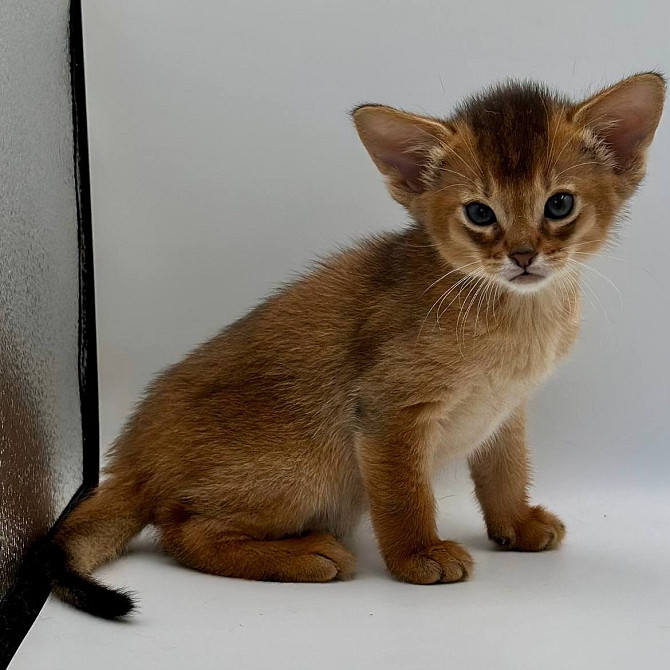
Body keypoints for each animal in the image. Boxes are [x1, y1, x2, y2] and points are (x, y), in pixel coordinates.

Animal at [48, 73, 668, 620]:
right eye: (480, 213)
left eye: (558, 205)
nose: (522, 255)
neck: (516, 315)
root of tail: (135, 460)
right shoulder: (387, 411)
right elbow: (404, 497)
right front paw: (419, 556)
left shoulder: (506, 410)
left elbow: (506, 471)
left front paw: (515, 524)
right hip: (307, 469)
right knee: (183, 530)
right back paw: (306, 555)